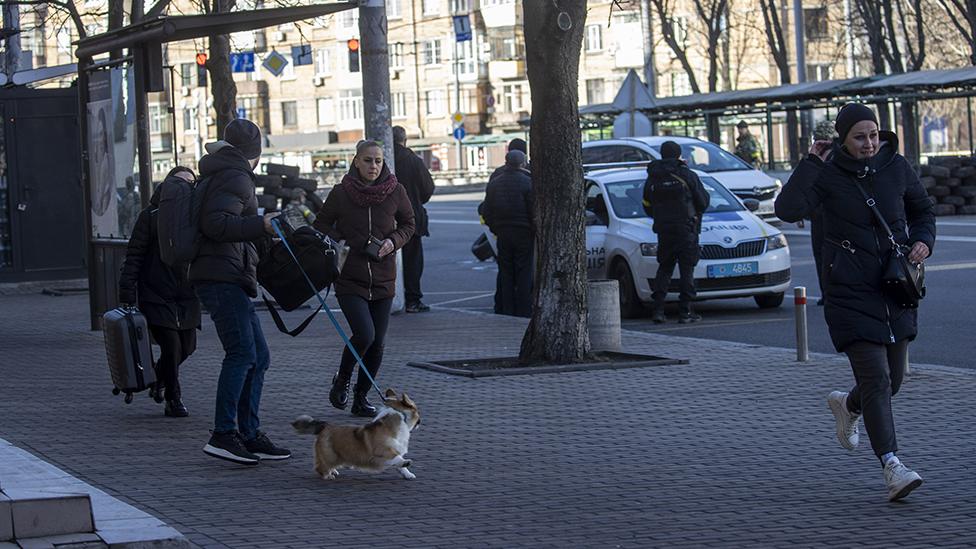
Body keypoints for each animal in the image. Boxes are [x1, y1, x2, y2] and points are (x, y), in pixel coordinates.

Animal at [294, 386, 424, 480]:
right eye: (417, 410)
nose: (420, 421)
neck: (400, 416)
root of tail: (324, 426)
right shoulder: (382, 451)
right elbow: (396, 457)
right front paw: (406, 462)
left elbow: (399, 464)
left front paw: (407, 473)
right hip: (330, 455)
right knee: (320, 466)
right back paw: (328, 475)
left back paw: (334, 470)